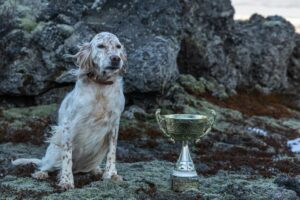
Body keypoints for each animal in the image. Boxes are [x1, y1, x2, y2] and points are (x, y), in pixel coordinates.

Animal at [11, 32, 126, 190]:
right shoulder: (69, 125)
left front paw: (111, 174)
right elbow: (67, 156)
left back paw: (96, 170)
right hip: (53, 151)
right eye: (101, 46)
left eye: (118, 46)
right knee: (47, 165)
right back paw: (41, 174)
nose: (116, 58)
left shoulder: (114, 123)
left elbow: (112, 152)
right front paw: (66, 181)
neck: (100, 87)